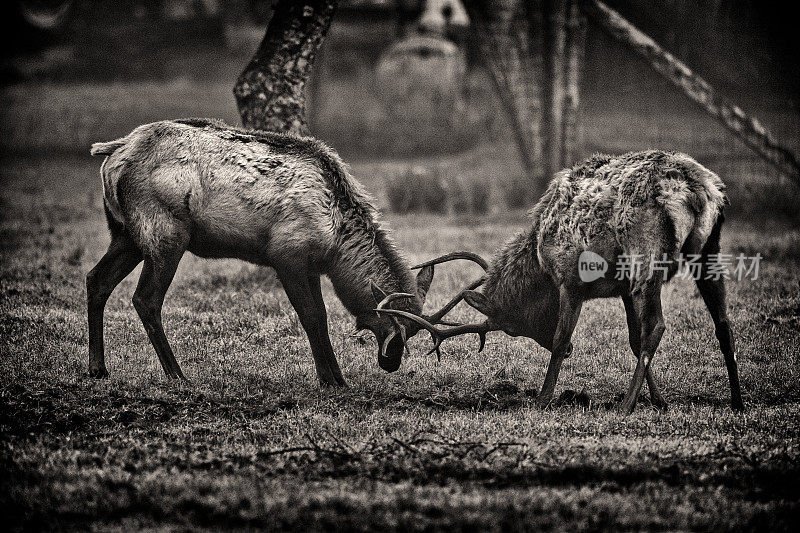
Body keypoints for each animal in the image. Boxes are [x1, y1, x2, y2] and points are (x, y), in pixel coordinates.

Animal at [87, 117, 460, 382]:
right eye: (393, 327)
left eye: (411, 331)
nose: (391, 362)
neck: (335, 244)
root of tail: (113, 152)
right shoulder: (287, 255)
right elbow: (311, 316)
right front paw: (330, 379)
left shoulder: (311, 265)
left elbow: (321, 316)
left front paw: (334, 377)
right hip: (166, 232)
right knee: (145, 298)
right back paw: (178, 375)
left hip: (126, 235)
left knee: (96, 279)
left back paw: (98, 368)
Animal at [378, 150, 748, 412]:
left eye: (511, 327)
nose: (573, 352)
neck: (541, 262)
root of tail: (699, 190)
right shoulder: (622, 287)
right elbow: (632, 338)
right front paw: (660, 401)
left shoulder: (571, 279)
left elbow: (559, 338)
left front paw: (543, 398)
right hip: (708, 250)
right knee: (722, 323)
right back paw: (737, 401)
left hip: (646, 253)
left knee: (657, 325)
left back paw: (626, 405)